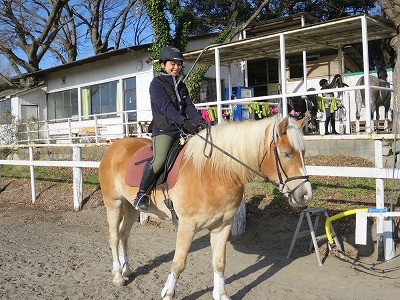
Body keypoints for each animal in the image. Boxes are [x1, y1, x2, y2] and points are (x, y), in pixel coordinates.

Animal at [98, 115, 310, 300]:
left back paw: (127, 269)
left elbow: (219, 262)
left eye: (303, 153)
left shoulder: (222, 226)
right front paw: (168, 293)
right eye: (286, 154)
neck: (215, 173)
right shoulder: (187, 225)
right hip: (114, 203)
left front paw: (221, 294)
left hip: (131, 207)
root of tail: (114, 147)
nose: (305, 195)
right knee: (114, 236)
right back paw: (118, 275)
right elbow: (179, 262)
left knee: (124, 234)